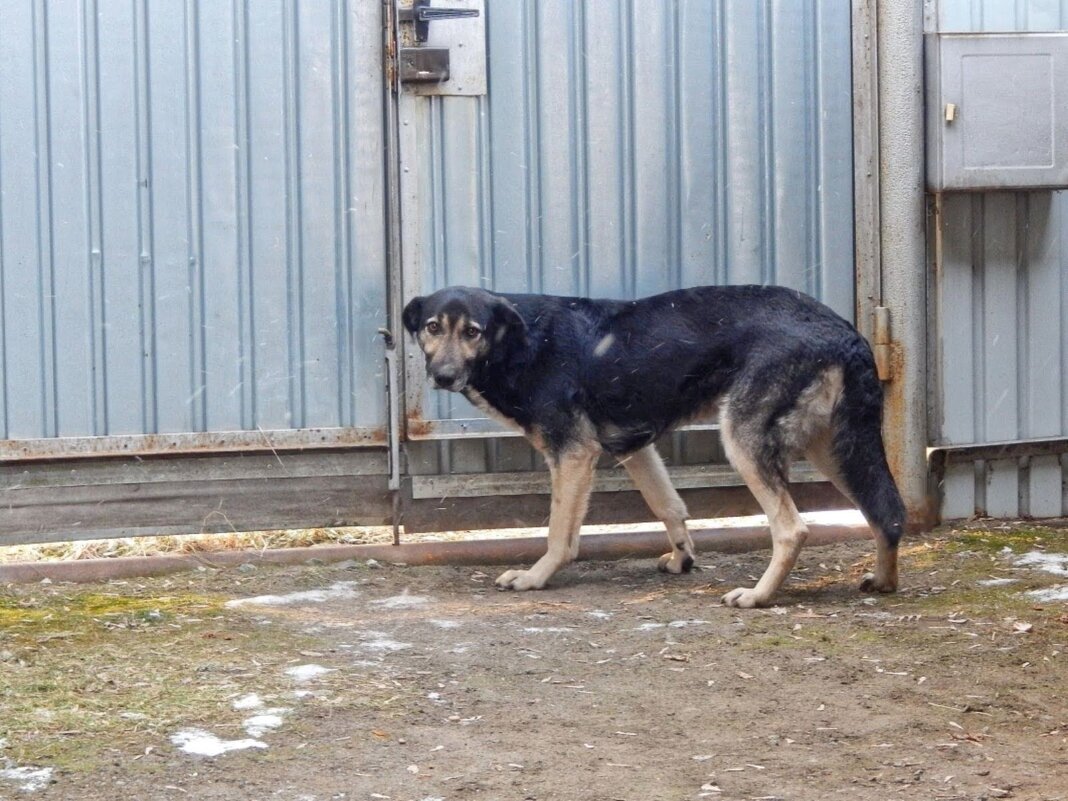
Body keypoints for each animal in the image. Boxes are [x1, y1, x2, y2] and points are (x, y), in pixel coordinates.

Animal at [403, 286, 905, 606]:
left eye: (472, 331)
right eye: (432, 327)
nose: (442, 376)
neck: (521, 341)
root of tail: (844, 330)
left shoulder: (573, 454)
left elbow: (560, 533)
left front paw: (535, 577)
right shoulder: (634, 447)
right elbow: (669, 506)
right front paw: (683, 558)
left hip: (744, 439)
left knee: (793, 528)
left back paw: (759, 596)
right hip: (834, 446)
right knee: (886, 511)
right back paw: (883, 581)